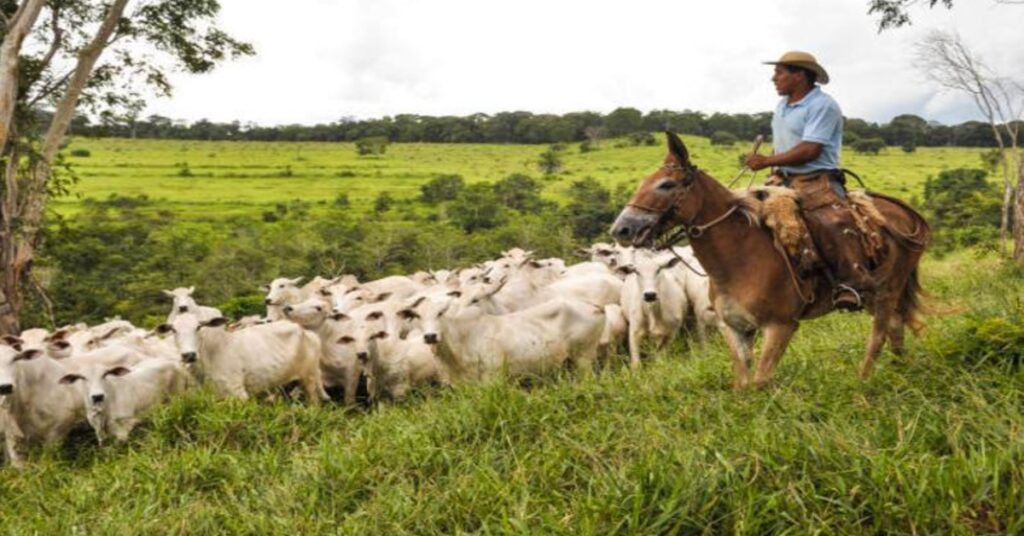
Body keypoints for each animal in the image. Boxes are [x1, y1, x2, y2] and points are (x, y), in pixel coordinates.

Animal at [157, 311, 325, 405]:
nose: (189, 355)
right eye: (173, 329)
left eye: (198, 327)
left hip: (309, 380)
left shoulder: (239, 394)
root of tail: (308, 333)